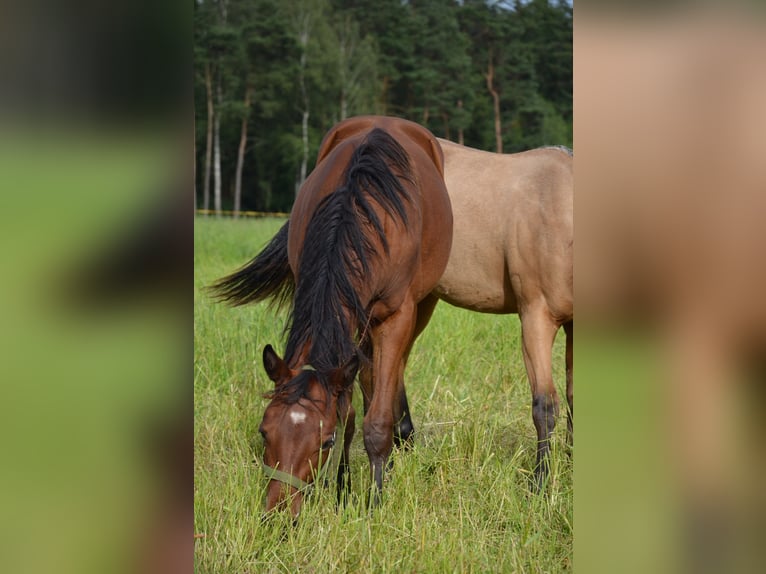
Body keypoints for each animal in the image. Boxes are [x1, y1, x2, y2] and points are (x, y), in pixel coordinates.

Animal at [210, 117, 452, 516]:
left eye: (325, 441)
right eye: (264, 431)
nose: (280, 511)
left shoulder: (396, 316)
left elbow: (376, 420)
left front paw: (374, 499)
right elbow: (349, 407)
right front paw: (343, 487)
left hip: (420, 307)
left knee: (394, 369)